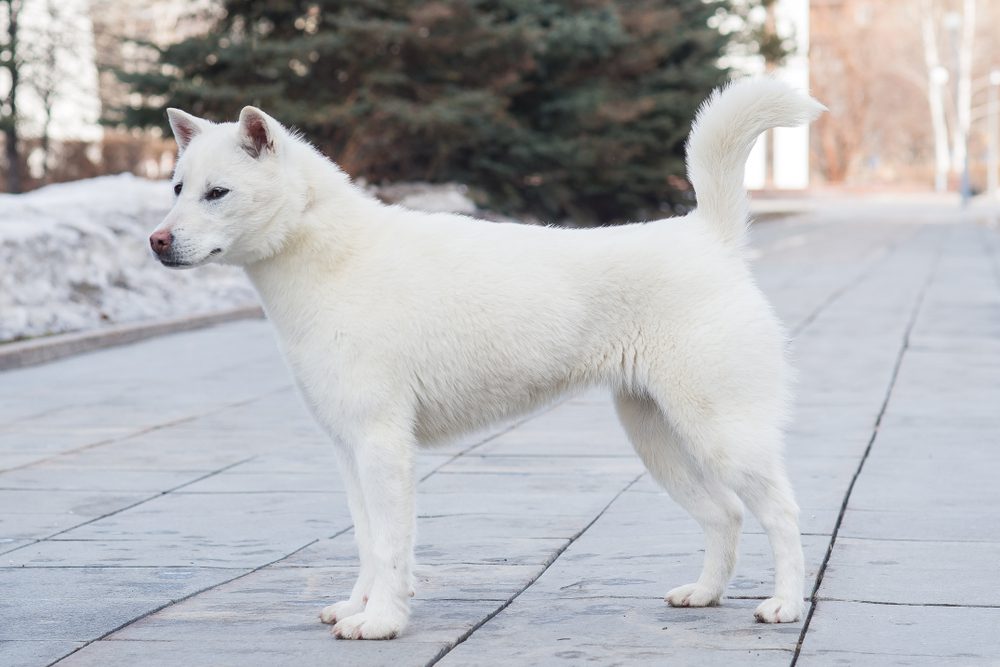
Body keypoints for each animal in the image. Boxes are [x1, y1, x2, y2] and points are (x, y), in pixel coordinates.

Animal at [154, 79, 828, 640]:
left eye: (218, 193)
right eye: (177, 188)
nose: (157, 242)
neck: (332, 258)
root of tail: (709, 237)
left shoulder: (382, 444)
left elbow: (392, 547)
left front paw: (382, 621)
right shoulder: (349, 449)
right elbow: (368, 542)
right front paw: (357, 607)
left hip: (723, 432)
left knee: (782, 514)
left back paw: (785, 605)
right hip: (658, 438)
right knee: (725, 515)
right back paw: (706, 594)